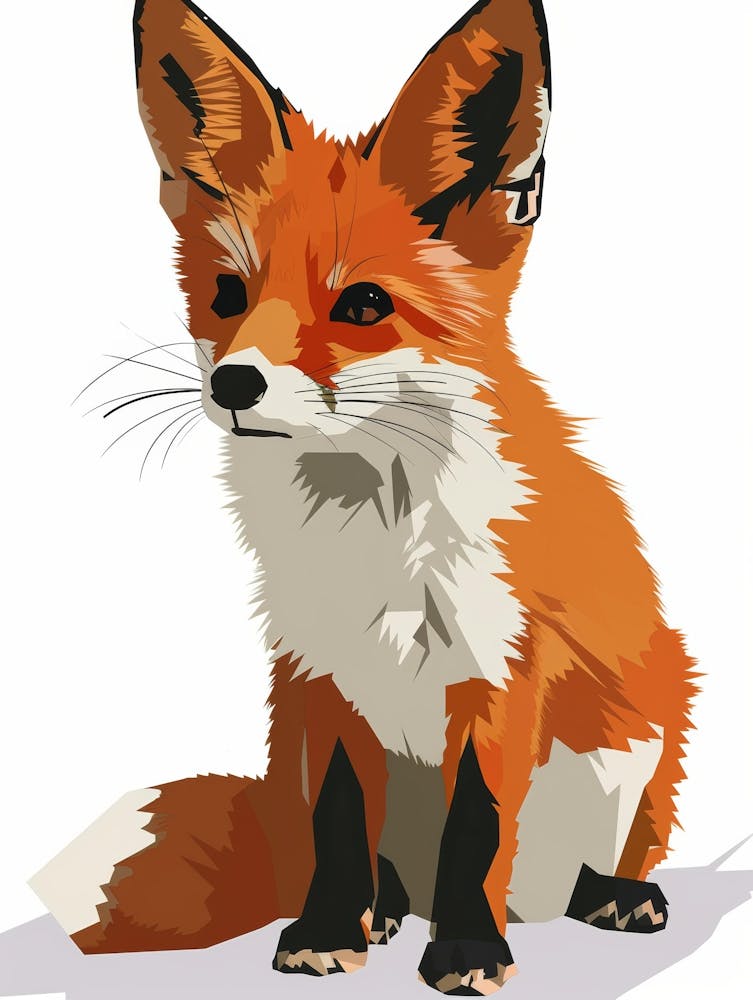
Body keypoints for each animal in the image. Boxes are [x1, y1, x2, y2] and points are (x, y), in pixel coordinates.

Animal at [30, 0, 697, 994]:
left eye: (364, 305)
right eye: (227, 293)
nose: (232, 384)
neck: (373, 539)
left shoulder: (499, 668)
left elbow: (477, 827)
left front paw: (467, 950)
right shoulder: (319, 672)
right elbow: (339, 819)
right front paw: (327, 930)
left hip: (654, 723)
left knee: (598, 856)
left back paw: (609, 895)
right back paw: (383, 910)